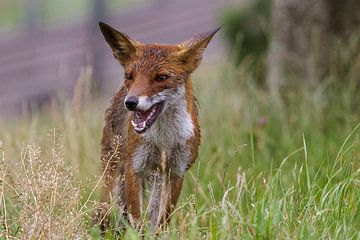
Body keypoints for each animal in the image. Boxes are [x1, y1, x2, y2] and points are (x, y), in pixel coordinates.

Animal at [95, 22, 219, 232]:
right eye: (130, 76)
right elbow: (137, 221)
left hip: (156, 180)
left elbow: (163, 221)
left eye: (161, 77)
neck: (163, 141)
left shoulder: (176, 172)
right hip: (114, 186)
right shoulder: (134, 168)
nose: (131, 102)